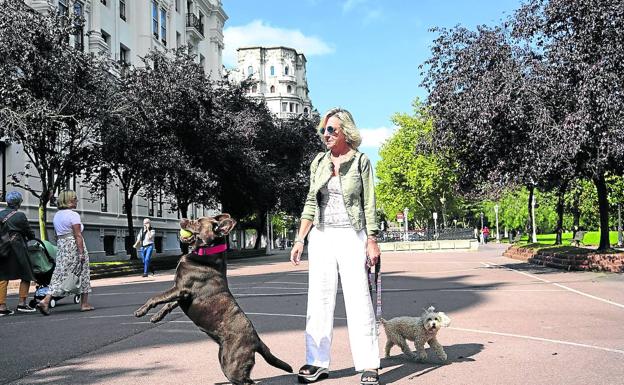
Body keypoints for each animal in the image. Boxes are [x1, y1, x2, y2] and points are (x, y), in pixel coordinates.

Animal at [133, 214, 292, 382]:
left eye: (197, 222)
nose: (182, 219)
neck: (206, 252)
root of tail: (257, 341)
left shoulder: (181, 289)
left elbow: (156, 297)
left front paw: (141, 311)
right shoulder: (181, 295)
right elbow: (167, 304)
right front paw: (156, 317)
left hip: (231, 364)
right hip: (224, 358)